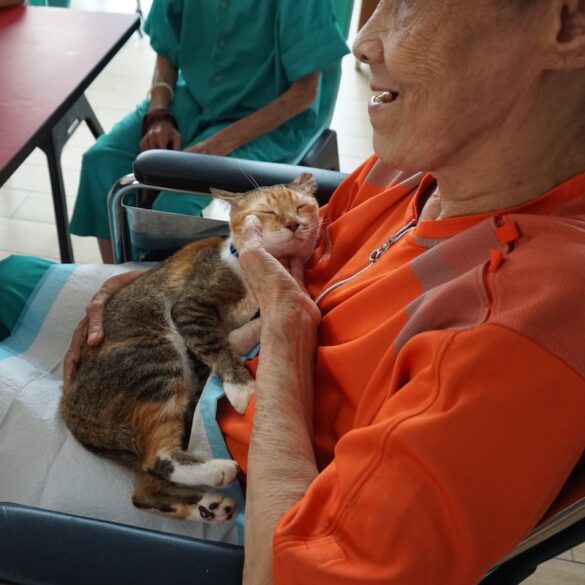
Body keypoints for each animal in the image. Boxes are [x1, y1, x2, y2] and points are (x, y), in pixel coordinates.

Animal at [60, 173, 320, 523]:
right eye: (266, 211)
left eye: (302, 206)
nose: (294, 224)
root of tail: (69, 406)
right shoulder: (189, 306)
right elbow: (214, 343)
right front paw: (242, 387)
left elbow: (242, 329)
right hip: (153, 357)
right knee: (157, 457)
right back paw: (217, 472)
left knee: (142, 490)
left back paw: (209, 506)